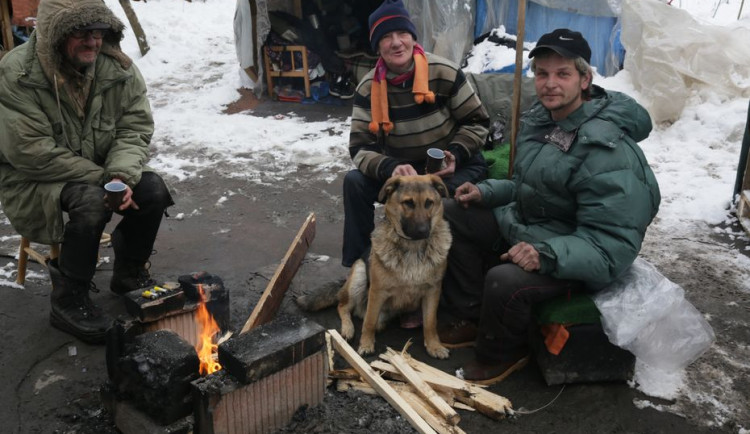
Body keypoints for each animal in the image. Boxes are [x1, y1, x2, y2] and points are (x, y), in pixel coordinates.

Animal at [340, 174, 452, 360]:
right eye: (408, 203)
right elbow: (369, 321)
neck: (413, 248)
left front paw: (434, 346)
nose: (423, 231)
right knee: (344, 307)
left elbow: (430, 323)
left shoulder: (433, 290)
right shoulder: (377, 291)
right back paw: (347, 329)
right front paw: (366, 344)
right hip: (360, 275)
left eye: (429, 203)